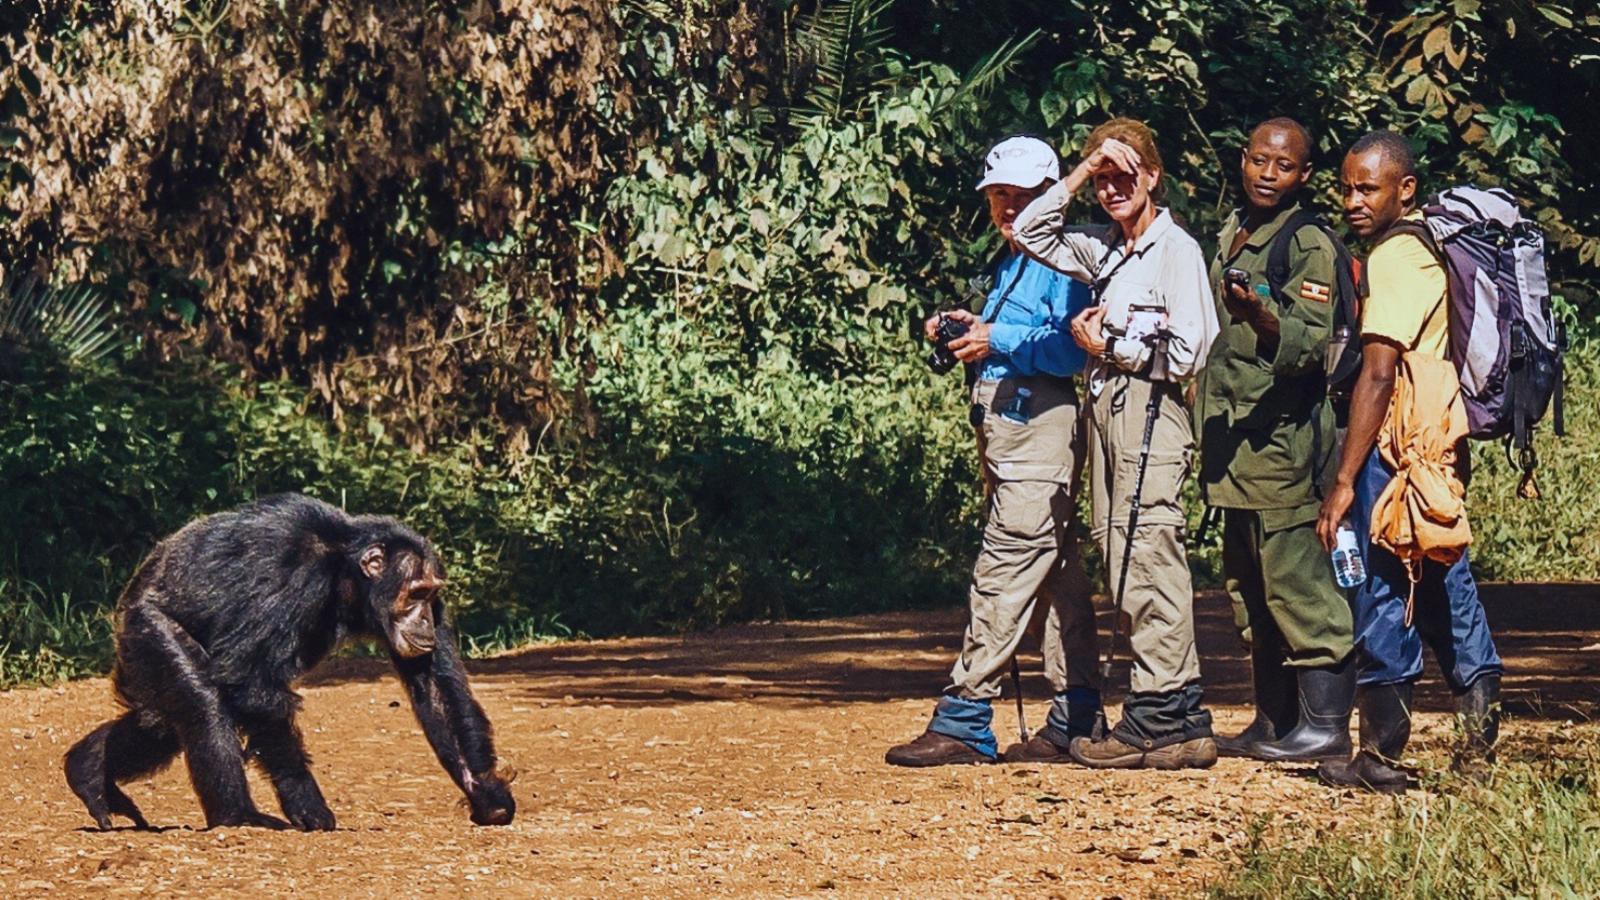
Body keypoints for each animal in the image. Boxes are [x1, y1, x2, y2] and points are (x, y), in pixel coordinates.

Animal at [60, 490, 512, 826]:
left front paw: (486, 794)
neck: (342, 570)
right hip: (148, 628)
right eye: (414, 593)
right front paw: (307, 805)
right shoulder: (287, 573)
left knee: (161, 723)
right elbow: (252, 683)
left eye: (430, 595)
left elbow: (433, 687)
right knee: (201, 703)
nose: (424, 620)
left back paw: (89, 772)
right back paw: (239, 817)